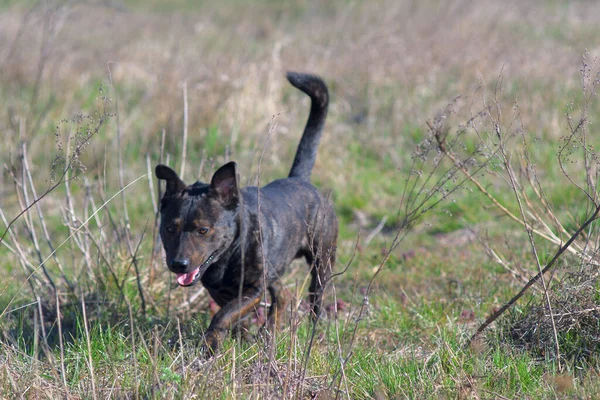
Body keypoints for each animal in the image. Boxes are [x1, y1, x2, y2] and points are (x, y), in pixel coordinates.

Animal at [155, 72, 338, 354]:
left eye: (203, 229)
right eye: (169, 228)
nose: (178, 264)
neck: (229, 254)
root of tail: (299, 179)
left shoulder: (253, 289)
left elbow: (224, 315)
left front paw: (211, 343)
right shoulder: (218, 289)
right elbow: (231, 314)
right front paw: (241, 337)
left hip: (322, 261)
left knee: (316, 297)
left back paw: (312, 331)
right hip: (275, 269)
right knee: (283, 296)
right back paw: (268, 333)